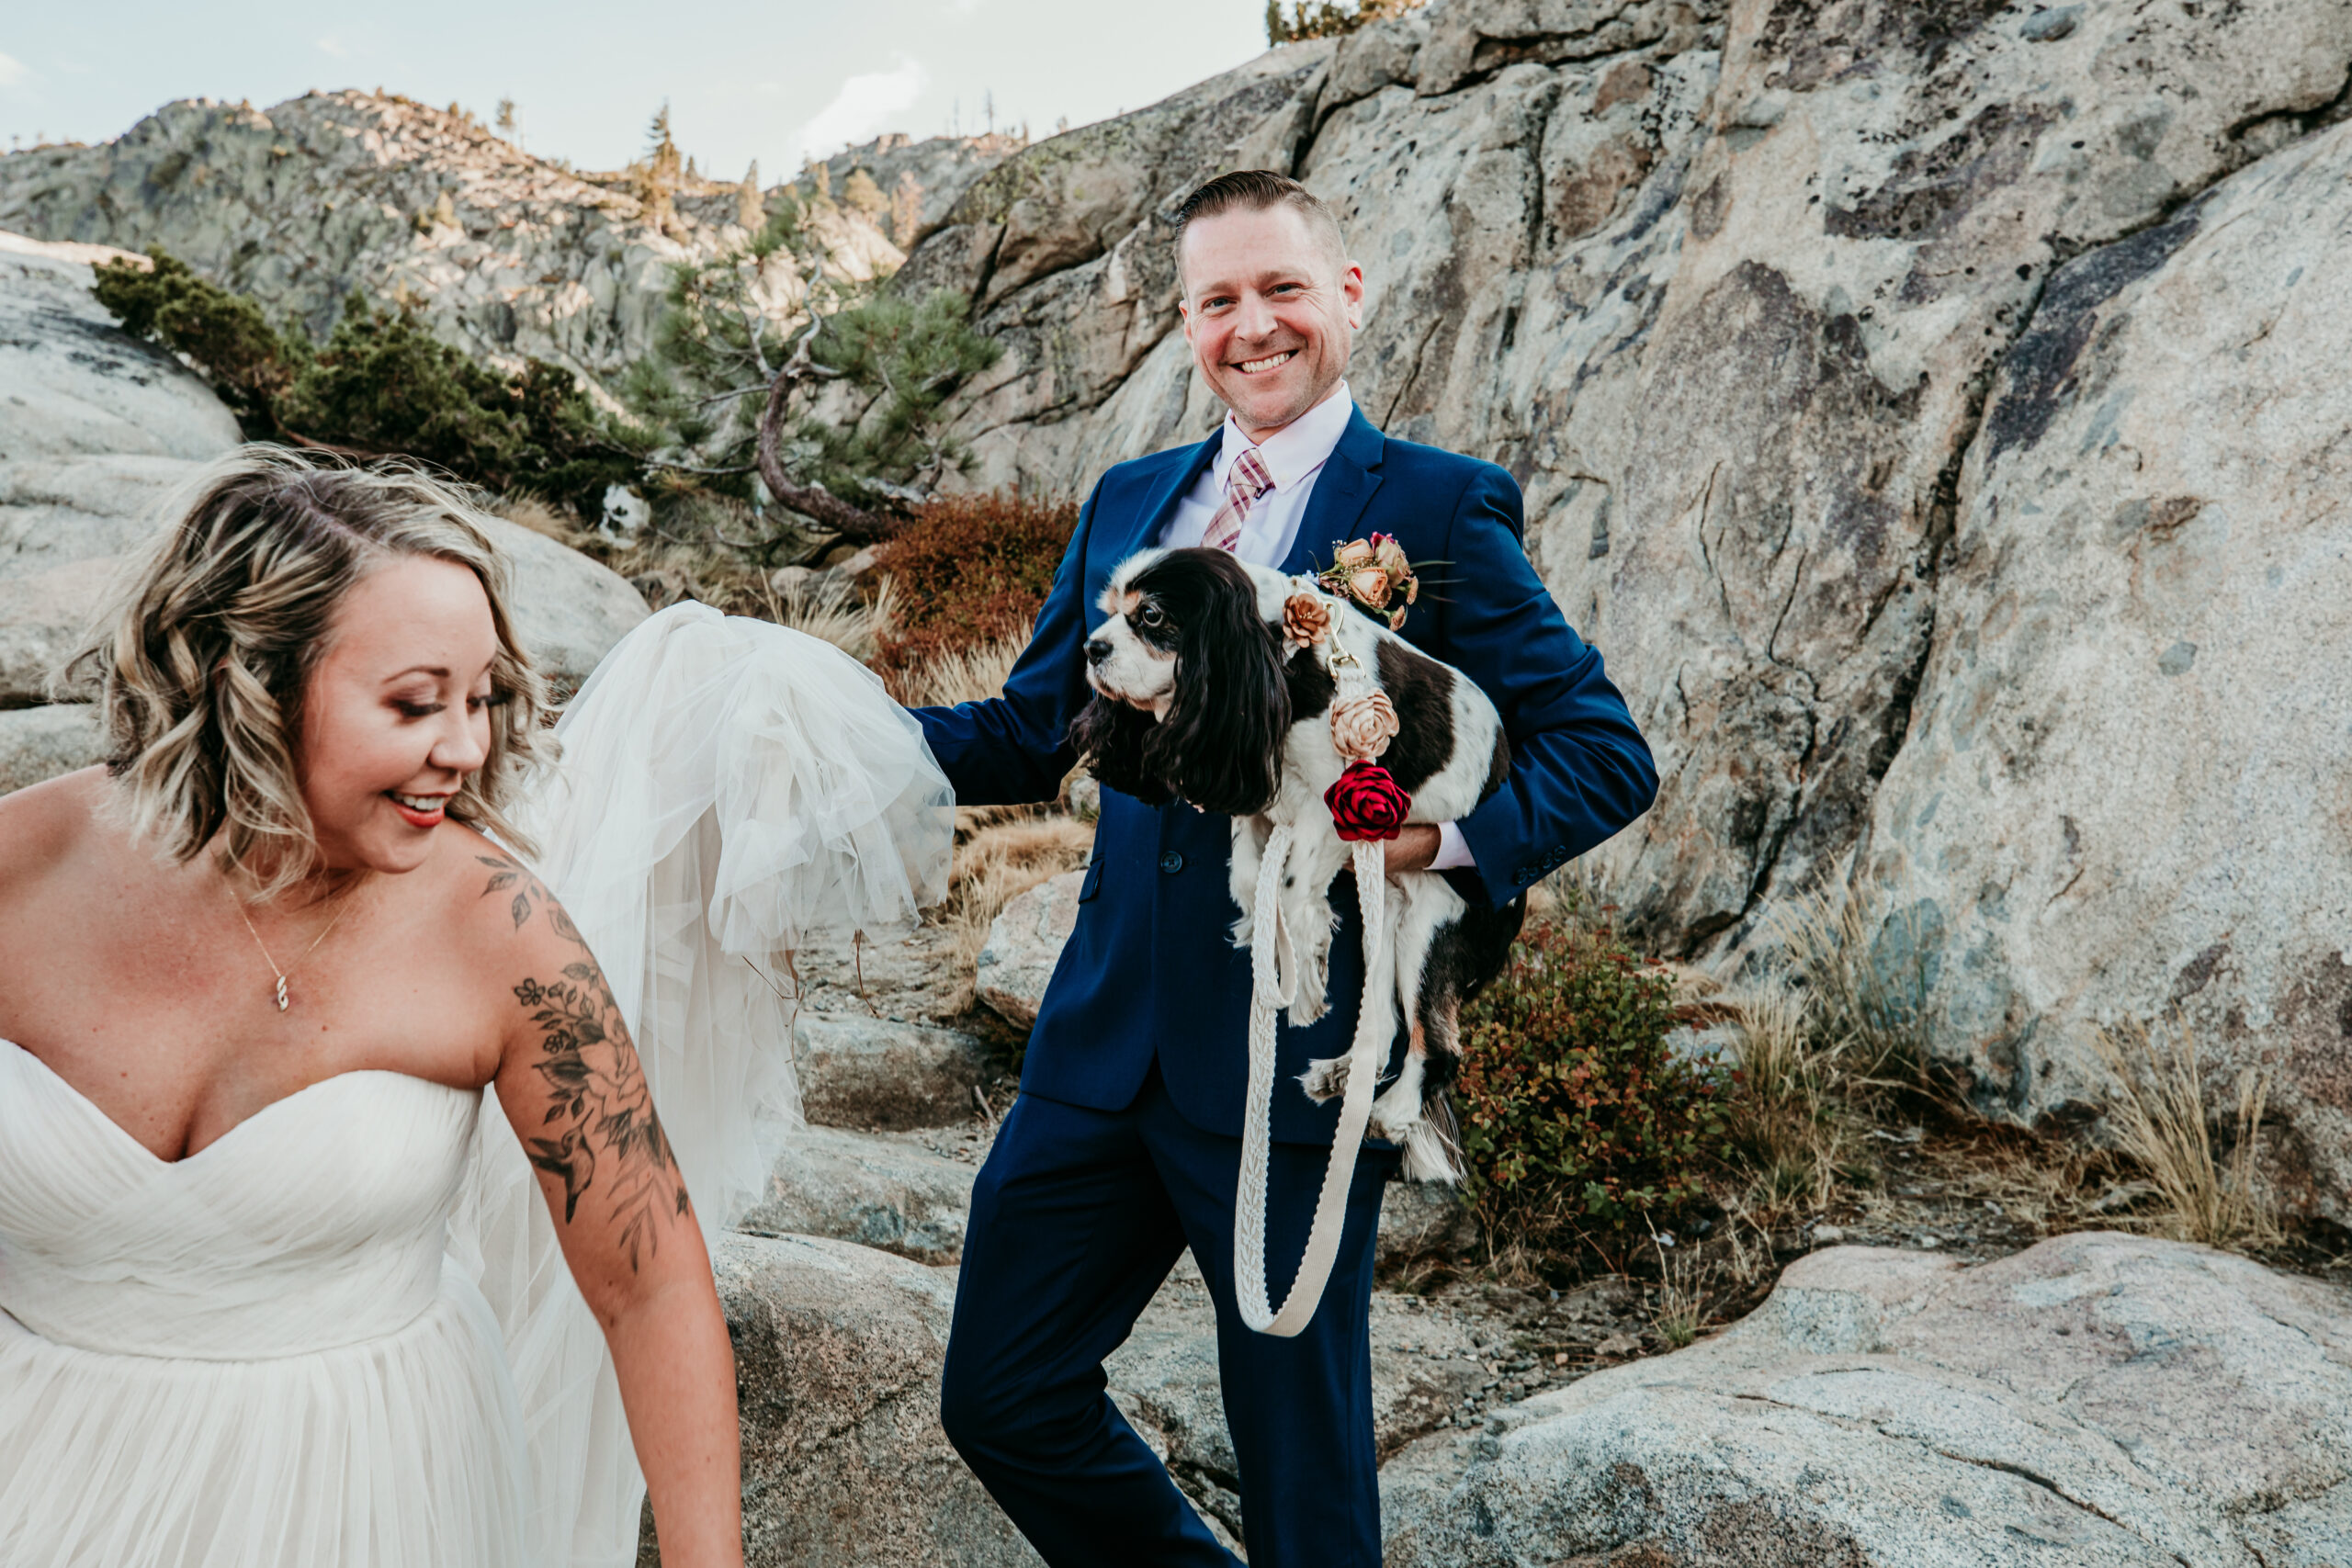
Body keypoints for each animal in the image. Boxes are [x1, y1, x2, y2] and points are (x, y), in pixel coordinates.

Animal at [1068, 543, 1523, 1175]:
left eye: (1151, 617)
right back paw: (1344, 1076)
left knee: (1438, 1045)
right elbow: (1247, 870)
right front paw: (1261, 930)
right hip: (1385, 920)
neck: (1278, 654)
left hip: (1432, 933)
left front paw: (1302, 960)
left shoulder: (1339, 804)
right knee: (1383, 1021)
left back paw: (1392, 1113)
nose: (1092, 647)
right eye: (1110, 611)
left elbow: (1291, 885)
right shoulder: (1264, 794)